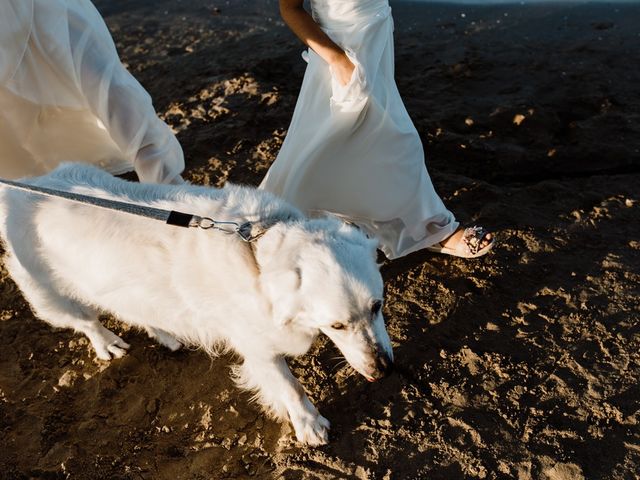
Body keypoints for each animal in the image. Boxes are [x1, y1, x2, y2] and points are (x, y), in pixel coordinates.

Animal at [0, 164, 392, 446]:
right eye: (337, 325)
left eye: (377, 306)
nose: (386, 369)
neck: (259, 252)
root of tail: (16, 190)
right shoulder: (257, 348)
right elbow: (290, 387)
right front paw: (310, 426)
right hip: (50, 294)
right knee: (87, 322)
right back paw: (108, 344)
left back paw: (166, 335)